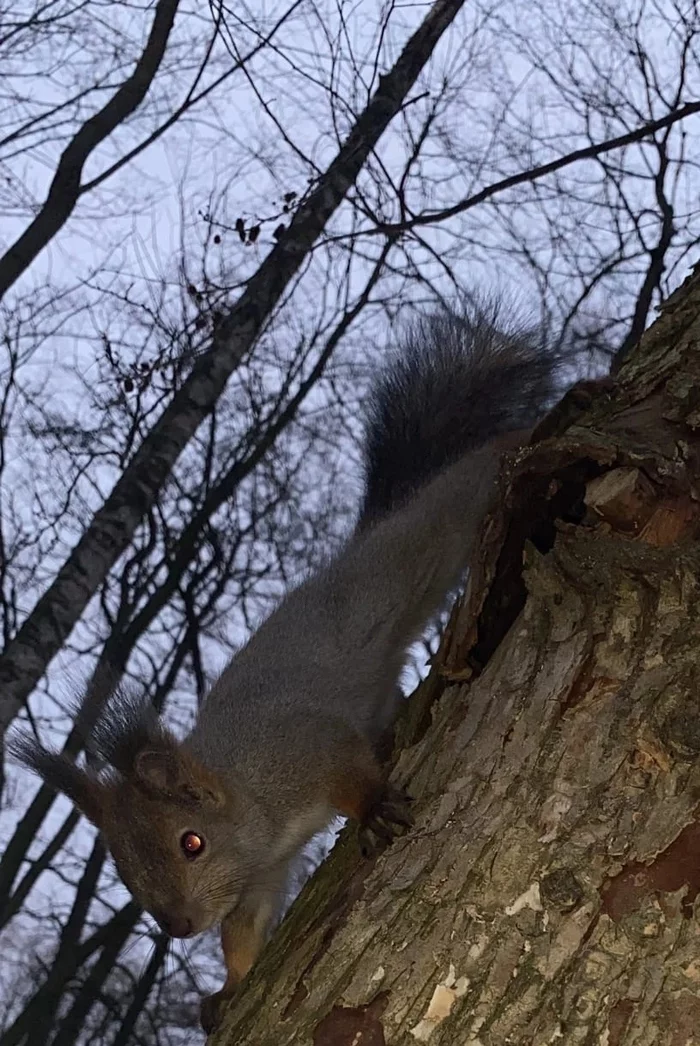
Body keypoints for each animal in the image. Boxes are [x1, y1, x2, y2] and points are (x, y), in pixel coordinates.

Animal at [12, 301, 560, 1029]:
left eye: (191, 842)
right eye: (123, 869)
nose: (176, 926)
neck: (254, 809)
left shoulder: (302, 750)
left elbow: (348, 769)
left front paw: (373, 808)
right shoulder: (259, 880)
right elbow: (243, 935)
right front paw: (228, 991)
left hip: (425, 537)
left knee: (471, 476)